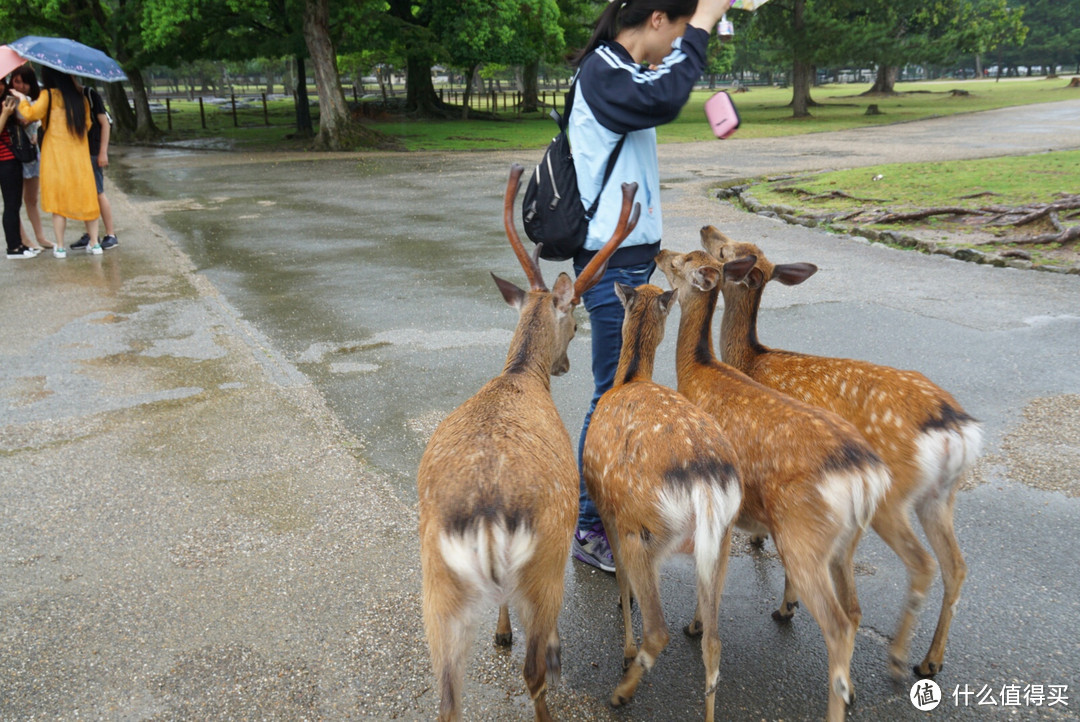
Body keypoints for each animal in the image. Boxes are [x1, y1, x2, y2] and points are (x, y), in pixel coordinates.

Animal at [416, 165, 639, 720]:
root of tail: (486, 517)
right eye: (576, 324)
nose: (564, 365)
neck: (519, 374)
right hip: (544, 560)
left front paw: (499, 633)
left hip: (436, 581)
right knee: (533, 668)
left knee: (447, 694)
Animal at [583, 282, 743, 720]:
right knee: (714, 641)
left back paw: (621, 692)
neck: (628, 378)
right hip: (721, 540)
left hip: (644, 530)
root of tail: (705, 482)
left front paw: (625, 649)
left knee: (658, 629)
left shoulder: (610, 509)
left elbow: (621, 580)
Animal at [652, 248, 889, 720]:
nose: (658, 252)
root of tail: (865, 475)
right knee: (855, 610)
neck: (698, 370)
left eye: (681, 262)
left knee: (838, 623)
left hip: (802, 535)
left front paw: (694, 625)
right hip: (845, 541)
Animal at [699, 226, 989, 682]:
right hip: (942, 494)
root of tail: (956, 426)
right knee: (956, 566)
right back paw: (931, 659)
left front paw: (786, 603)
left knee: (923, 563)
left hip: (892, 496)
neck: (751, 359)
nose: (707, 229)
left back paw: (898, 658)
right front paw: (777, 578)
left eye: (726, 250)